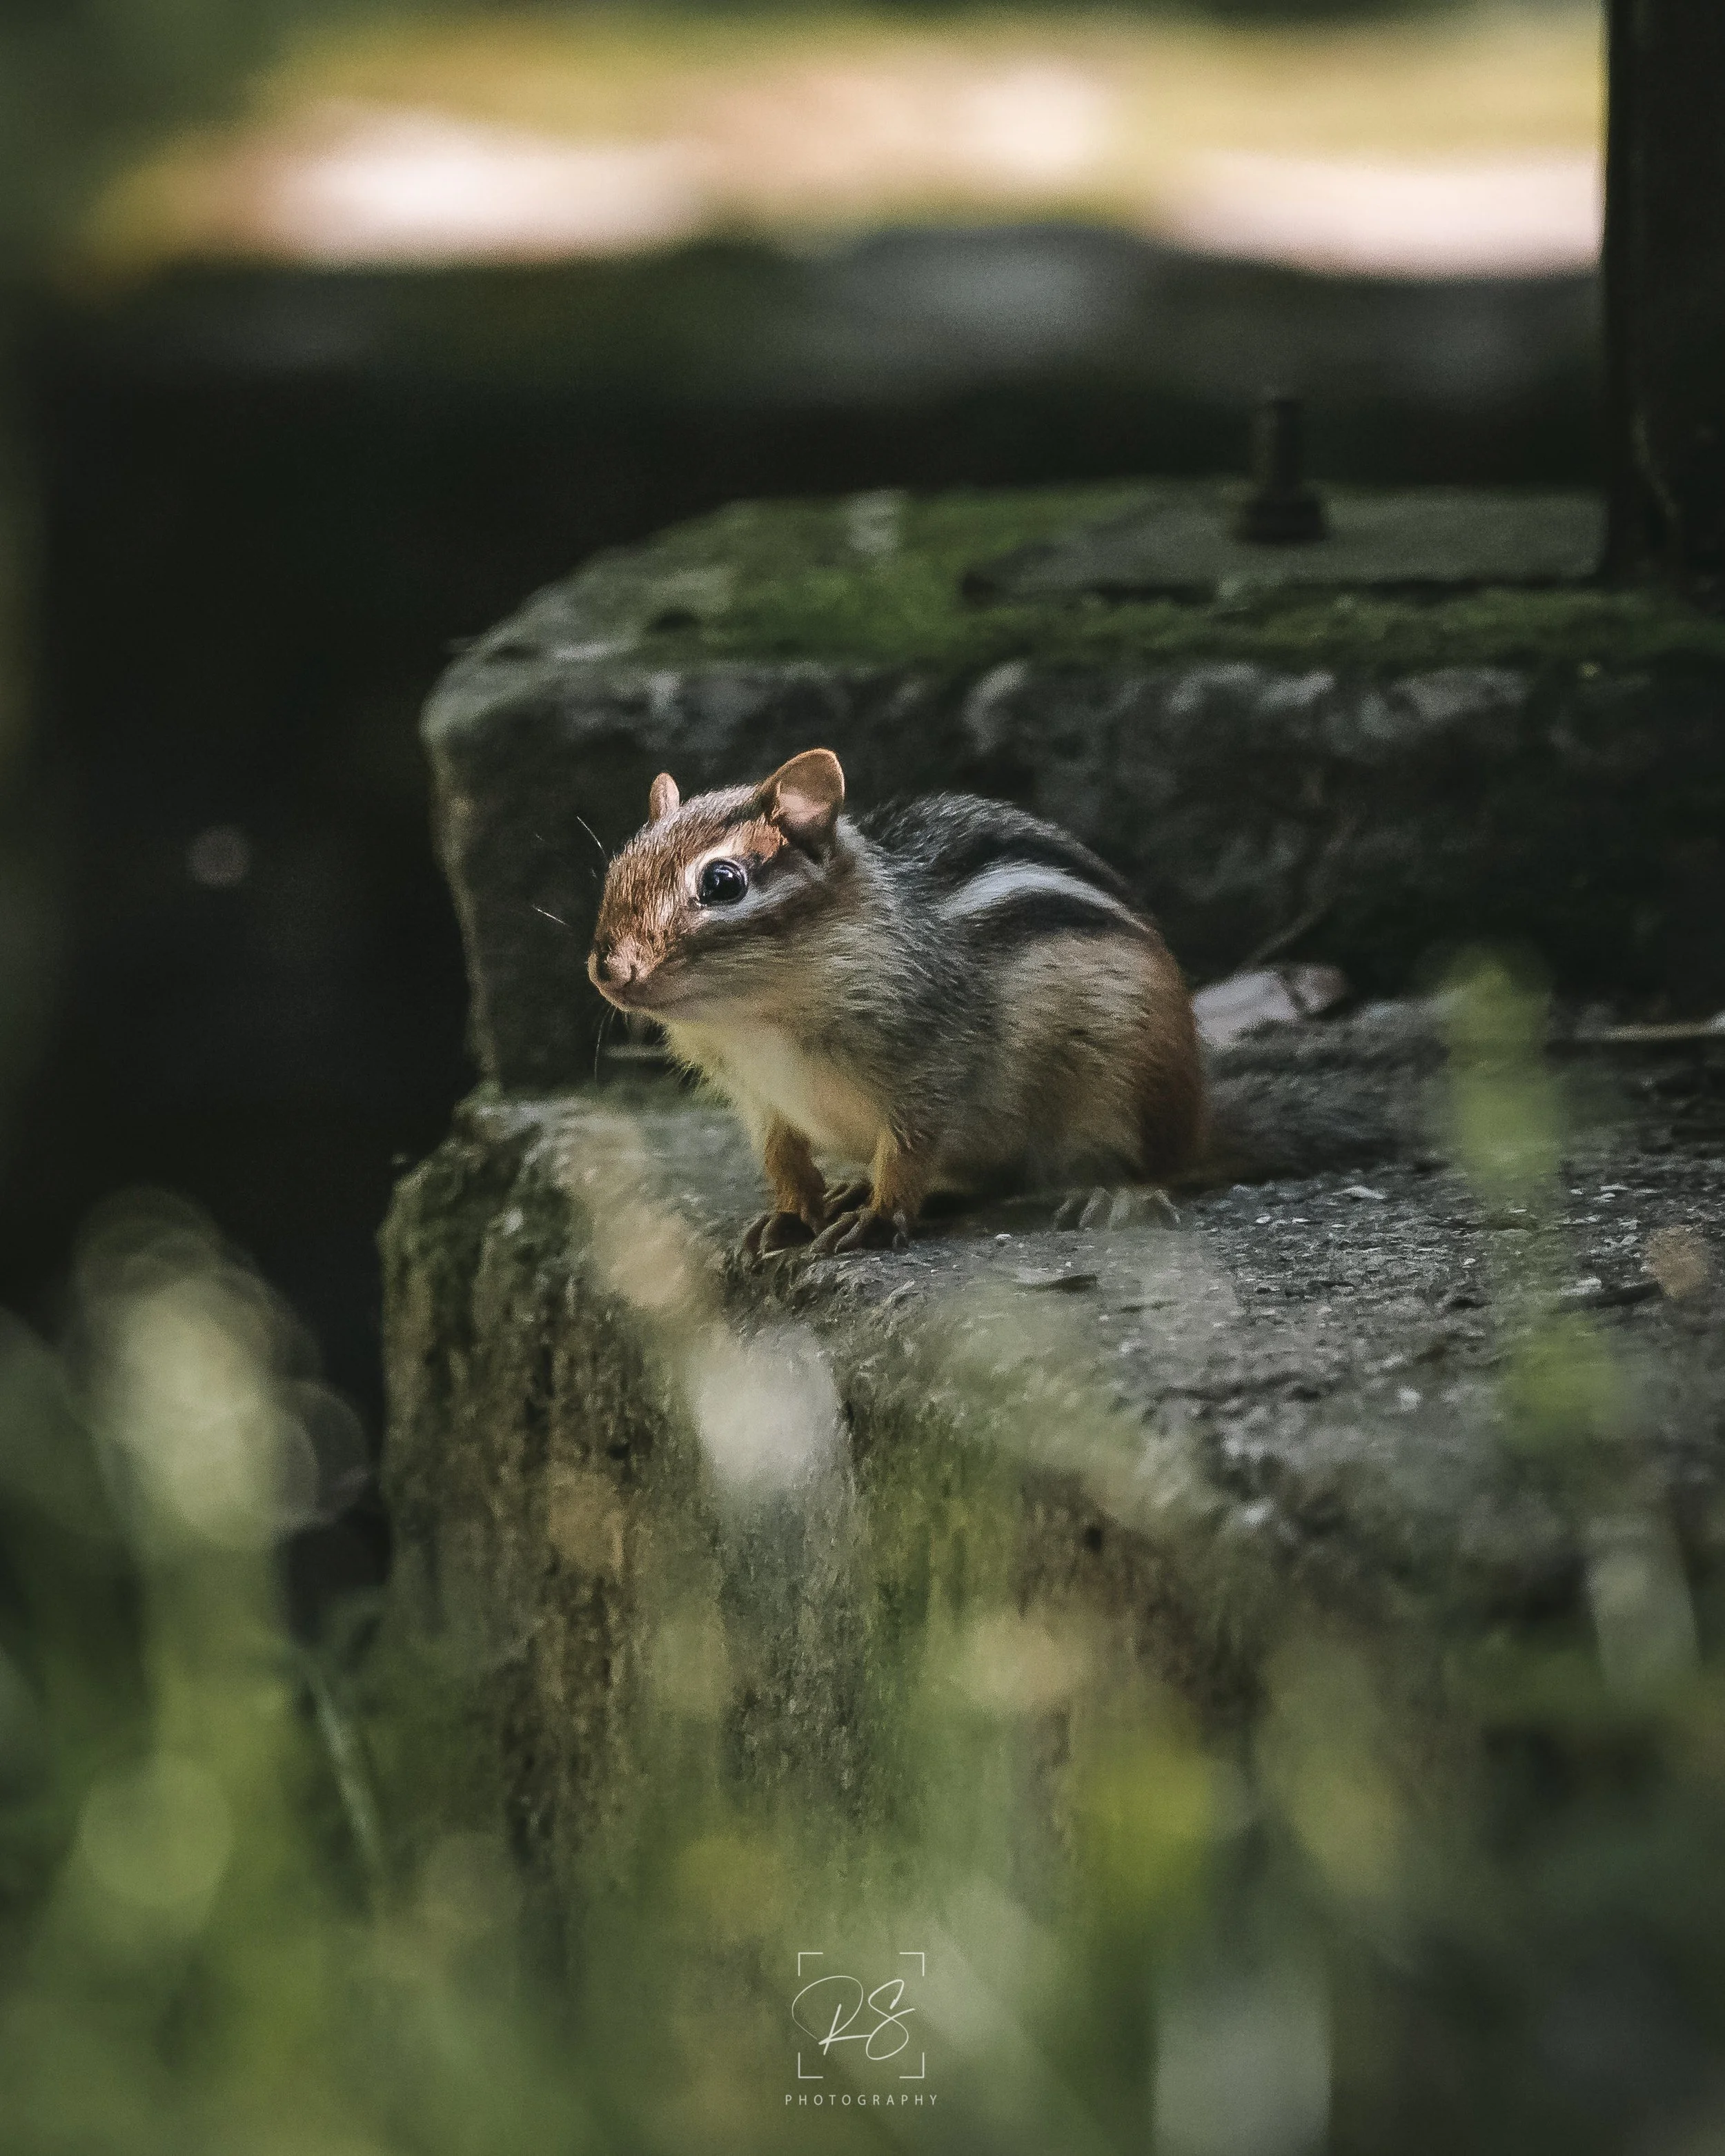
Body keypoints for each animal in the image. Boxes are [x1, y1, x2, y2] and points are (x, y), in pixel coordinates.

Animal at [587, 748, 1204, 1256]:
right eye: (617, 869)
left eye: (722, 882)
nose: (610, 968)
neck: (753, 1017)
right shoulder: (758, 1096)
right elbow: (782, 1155)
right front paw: (792, 1215)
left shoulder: (931, 1065)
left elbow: (907, 1153)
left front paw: (879, 1219)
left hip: (1131, 1084)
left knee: (1160, 1165)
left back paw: (1117, 1194)